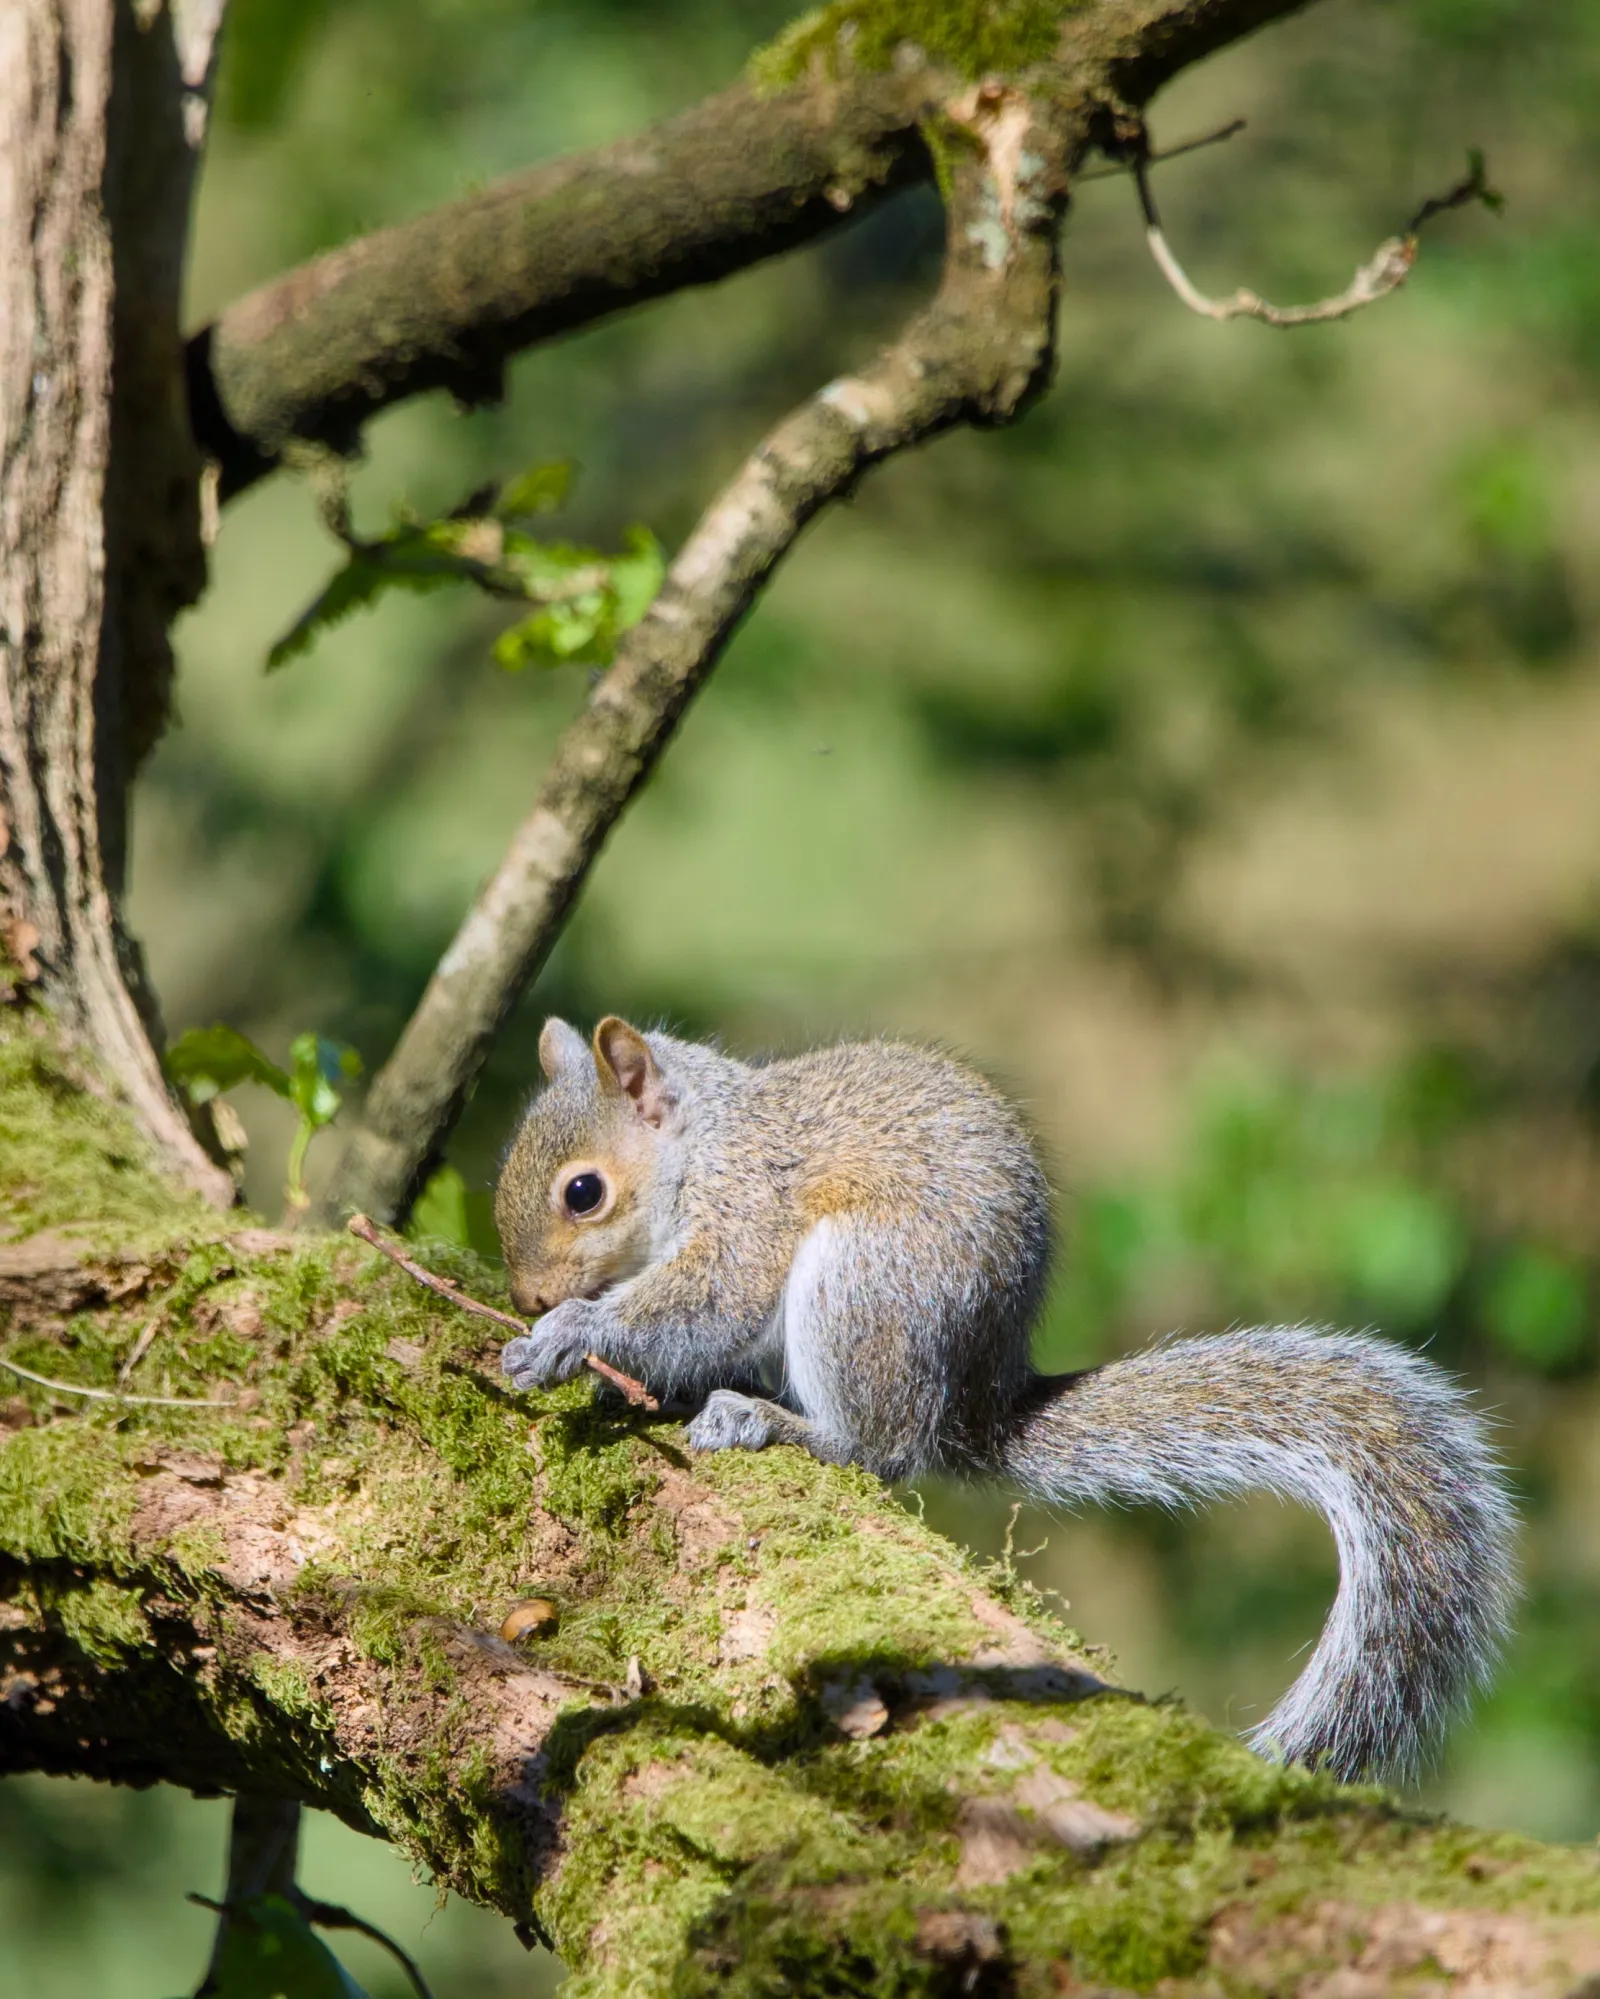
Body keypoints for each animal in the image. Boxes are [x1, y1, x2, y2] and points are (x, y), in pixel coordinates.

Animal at [494, 1015, 1515, 1781]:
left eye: (583, 1192)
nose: (531, 1296)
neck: (701, 1141)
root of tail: (979, 1396)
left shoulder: (747, 1210)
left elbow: (708, 1298)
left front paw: (572, 1335)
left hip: (863, 1284)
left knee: (882, 1445)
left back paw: (776, 1421)